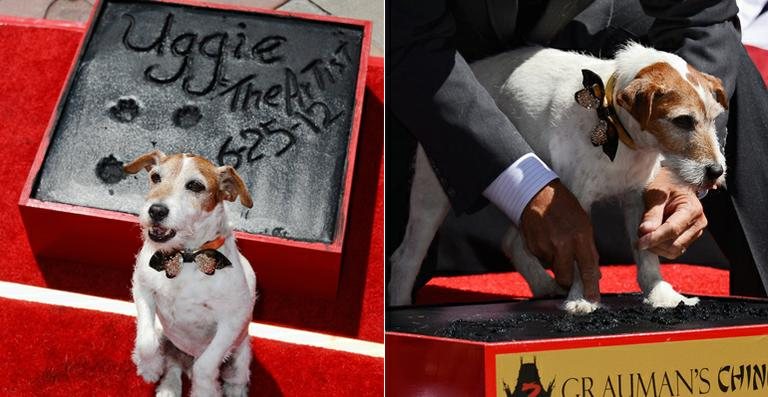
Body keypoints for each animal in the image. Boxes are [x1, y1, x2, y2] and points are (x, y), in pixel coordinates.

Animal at [126, 149, 258, 396]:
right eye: (155, 177)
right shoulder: (142, 289)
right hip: (167, 337)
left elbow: (205, 366)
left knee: (234, 380)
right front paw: (149, 367)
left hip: (239, 356)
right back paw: (168, 388)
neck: (186, 257)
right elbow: (146, 342)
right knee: (173, 367)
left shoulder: (232, 320)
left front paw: (204, 390)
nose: (156, 210)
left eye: (195, 185)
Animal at [388, 42, 728, 312]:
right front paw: (583, 298)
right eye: (683, 121)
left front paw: (659, 294)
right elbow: (578, 251)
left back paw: (543, 286)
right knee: (406, 257)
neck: (614, 126)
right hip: (432, 195)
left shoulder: (636, 198)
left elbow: (645, 253)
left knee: (512, 243)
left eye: (714, 118)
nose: (716, 172)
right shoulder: (575, 203)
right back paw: (400, 305)